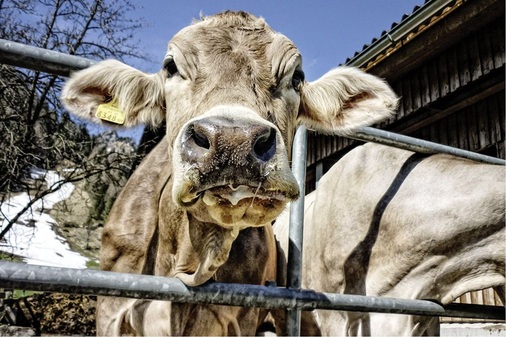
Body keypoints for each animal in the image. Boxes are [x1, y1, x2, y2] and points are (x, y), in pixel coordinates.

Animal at [60, 10, 400, 336]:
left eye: (297, 77)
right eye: (170, 66)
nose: (233, 140)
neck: (192, 253)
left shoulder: (241, 316)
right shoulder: (111, 309)